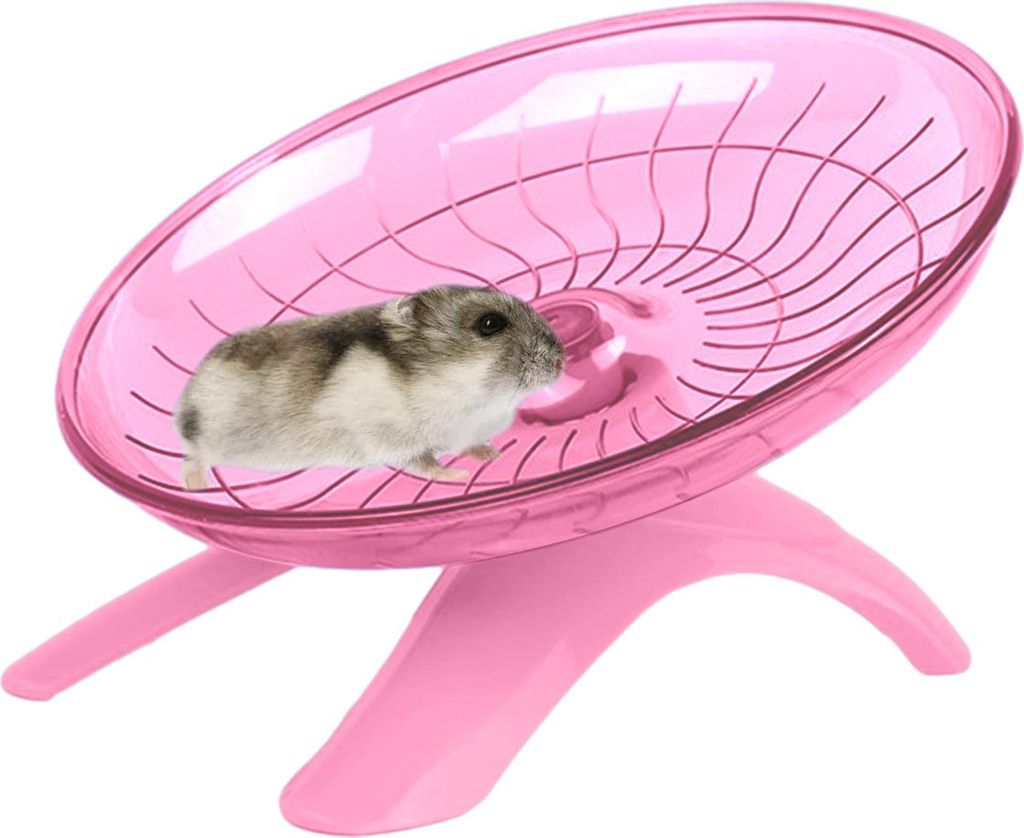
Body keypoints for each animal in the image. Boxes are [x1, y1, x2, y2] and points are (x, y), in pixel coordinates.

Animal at [173, 284, 565, 490]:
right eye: (489, 324)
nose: (561, 360)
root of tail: (185, 402)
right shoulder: (391, 440)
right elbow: (424, 462)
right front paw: (456, 475)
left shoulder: (465, 431)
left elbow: (471, 445)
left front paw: (493, 455)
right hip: (213, 439)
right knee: (192, 458)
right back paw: (198, 485)